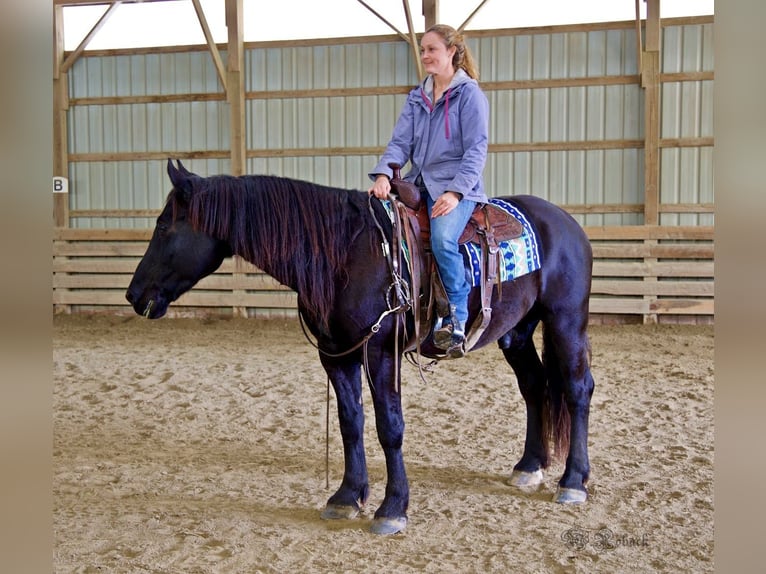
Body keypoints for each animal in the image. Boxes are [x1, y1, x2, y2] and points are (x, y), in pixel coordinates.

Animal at [126, 160, 596, 536]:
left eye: (164, 226)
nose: (133, 295)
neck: (345, 254)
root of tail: (567, 224)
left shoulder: (380, 352)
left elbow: (390, 427)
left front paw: (393, 507)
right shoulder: (336, 354)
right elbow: (350, 422)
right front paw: (346, 496)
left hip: (565, 320)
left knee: (577, 389)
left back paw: (573, 481)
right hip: (516, 332)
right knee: (535, 386)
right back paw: (529, 467)